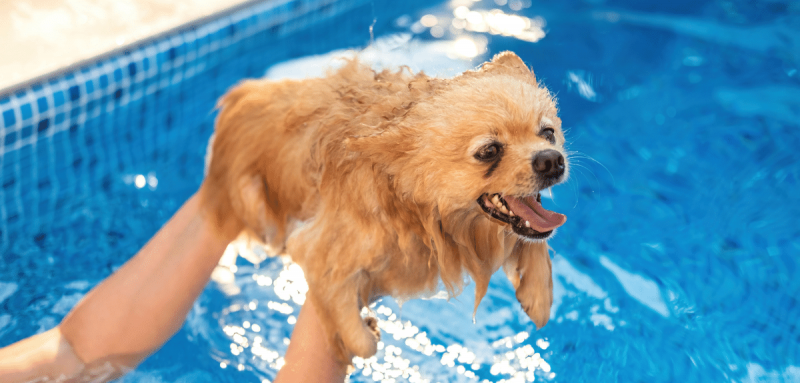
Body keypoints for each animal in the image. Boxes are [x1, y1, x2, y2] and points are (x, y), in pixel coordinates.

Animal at [198, 51, 568, 366]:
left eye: (548, 133)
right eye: (489, 151)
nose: (551, 160)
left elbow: (536, 241)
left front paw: (539, 294)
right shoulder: (320, 249)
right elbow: (352, 328)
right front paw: (364, 335)